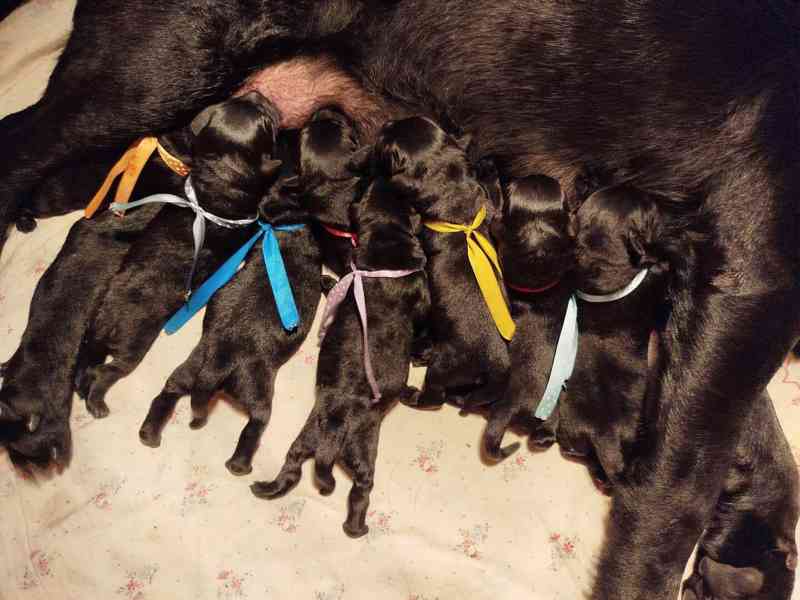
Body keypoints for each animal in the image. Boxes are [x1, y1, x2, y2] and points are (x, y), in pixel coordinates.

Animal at [75, 95, 282, 422]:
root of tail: (104, 316)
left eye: (238, 100)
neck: (219, 171)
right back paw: (98, 402)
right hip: (132, 344)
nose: (260, 94)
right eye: (265, 121)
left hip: (96, 334)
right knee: (108, 371)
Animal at [253, 176, 432, 536]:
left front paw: (326, 280)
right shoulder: (420, 296)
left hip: (303, 440)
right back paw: (357, 528)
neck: (383, 245)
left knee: (291, 466)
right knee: (361, 490)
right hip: (363, 452)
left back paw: (265, 488)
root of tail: (335, 423)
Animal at [360, 115, 510, 410]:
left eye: (386, 137)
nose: (385, 121)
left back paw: (411, 395)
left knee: (434, 397)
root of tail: (497, 363)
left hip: (443, 366)